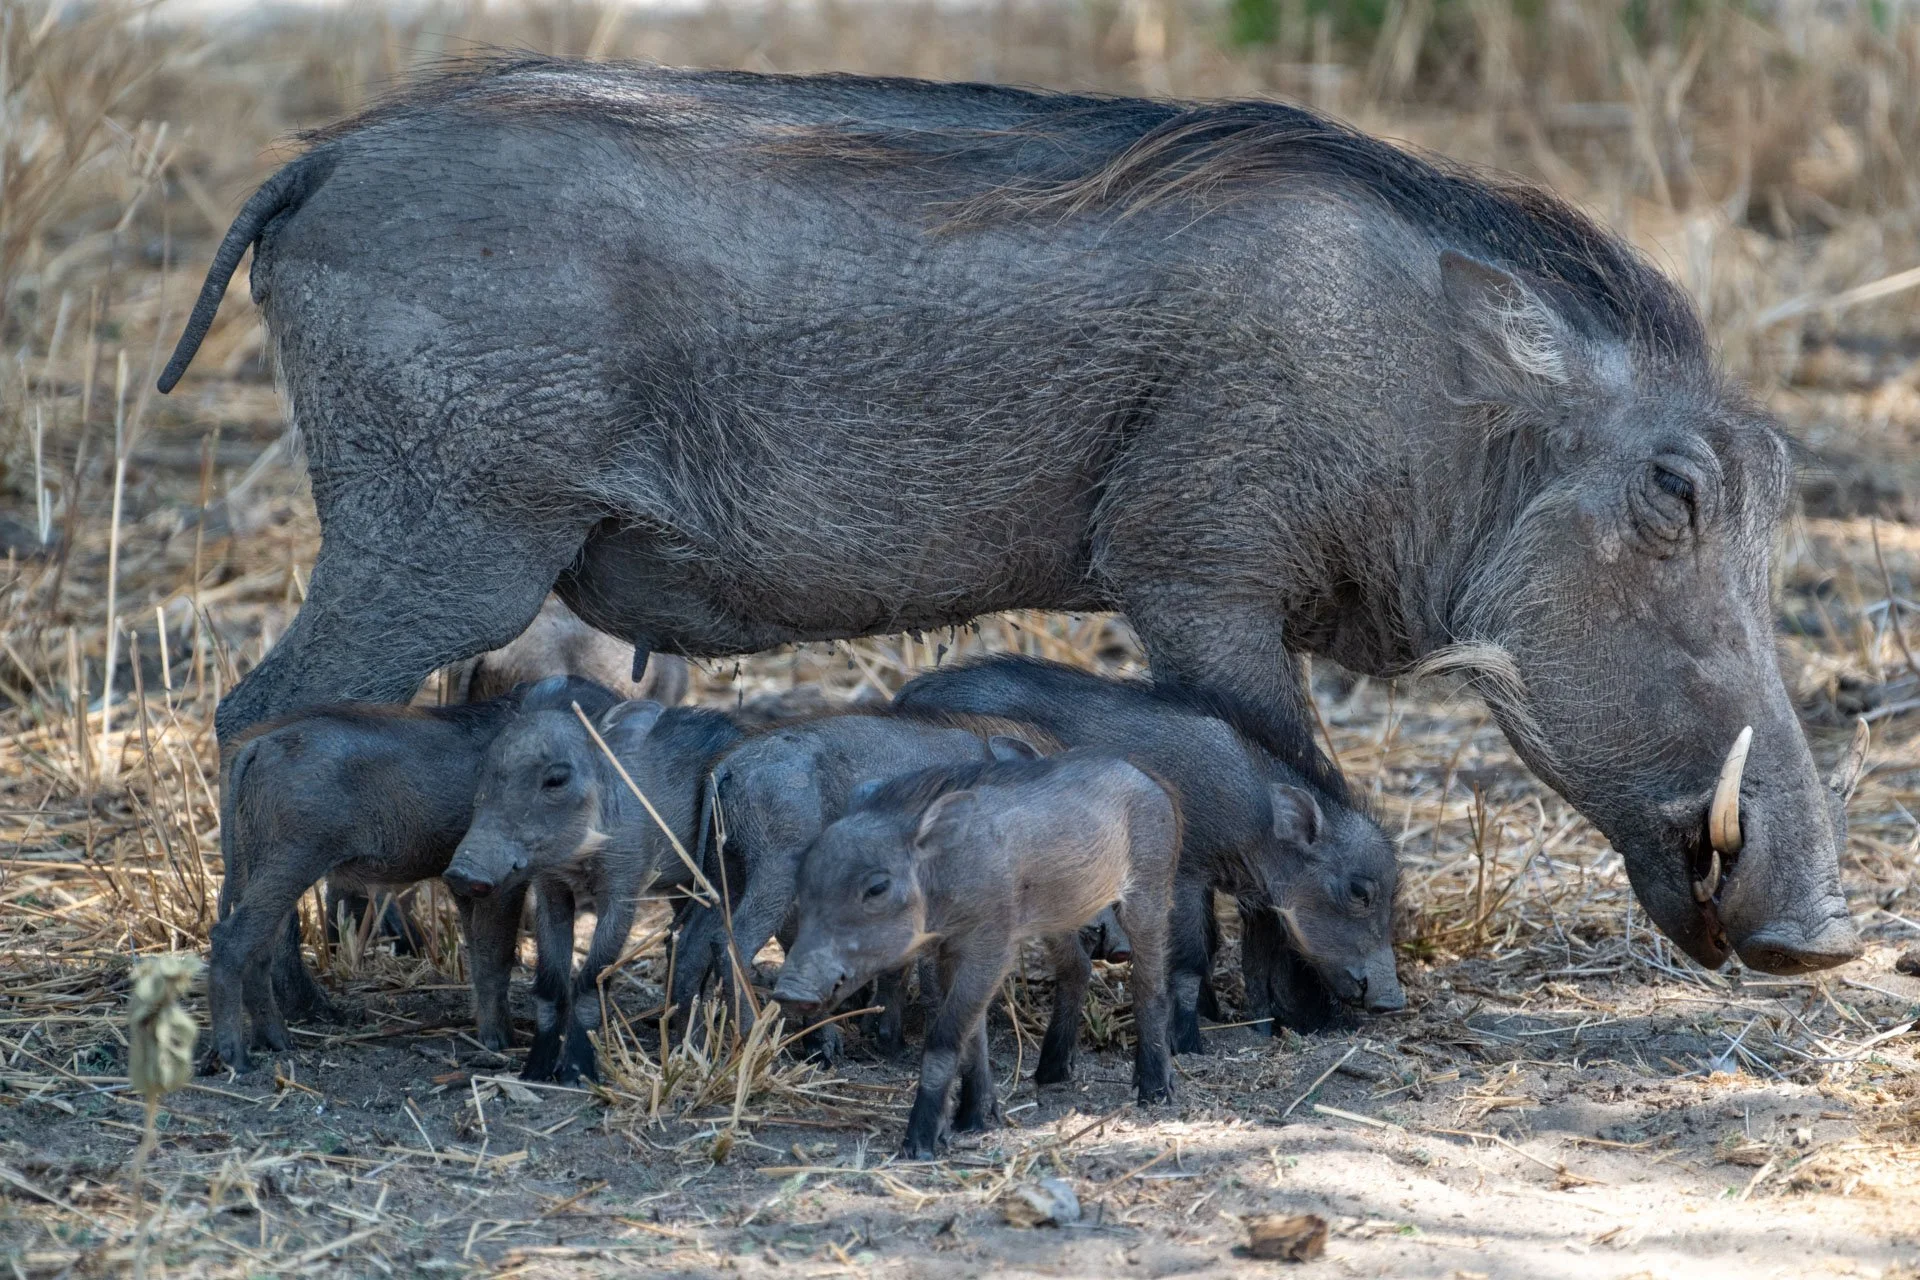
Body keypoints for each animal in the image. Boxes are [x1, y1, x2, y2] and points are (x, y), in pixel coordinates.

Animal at [165, 61, 1859, 974]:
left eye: (1777, 485)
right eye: (1675, 494)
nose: (1826, 939)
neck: (1436, 403)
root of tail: (323, 157)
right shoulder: (1202, 575)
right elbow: (1287, 779)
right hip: (438, 545)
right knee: (263, 712)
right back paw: (313, 977)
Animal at [207, 675, 621, 1073]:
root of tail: (258, 744)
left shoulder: (469, 885)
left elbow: (481, 958)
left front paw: (492, 1036)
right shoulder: (500, 883)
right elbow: (497, 956)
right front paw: (501, 1042)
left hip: (259, 863)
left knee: (262, 951)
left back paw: (278, 1043)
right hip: (291, 860)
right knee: (231, 941)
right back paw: (238, 1059)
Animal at [442, 698, 747, 1083]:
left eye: (556, 779)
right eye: (484, 769)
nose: (461, 873)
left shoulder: (622, 892)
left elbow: (590, 983)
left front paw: (576, 1074)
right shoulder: (551, 890)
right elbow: (551, 984)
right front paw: (535, 1072)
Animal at [773, 750, 1178, 1158]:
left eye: (876, 887)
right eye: (803, 876)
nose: (790, 992)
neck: (946, 873)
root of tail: (1145, 776)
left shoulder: (990, 949)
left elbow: (945, 1039)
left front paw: (920, 1144)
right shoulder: (948, 951)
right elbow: (973, 1038)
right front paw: (973, 1120)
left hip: (1147, 893)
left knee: (1149, 986)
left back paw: (1155, 1092)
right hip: (1060, 914)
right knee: (1077, 968)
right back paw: (1050, 1073)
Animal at [895, 655, 1402, 1051]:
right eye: (1359, 891)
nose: (1392, 1002)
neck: (1255, 814)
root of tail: (903, 697)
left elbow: (1242, 961)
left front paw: (1246, 1027)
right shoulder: (1186, 873)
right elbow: (1192, 957)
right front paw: (1188, 1042)